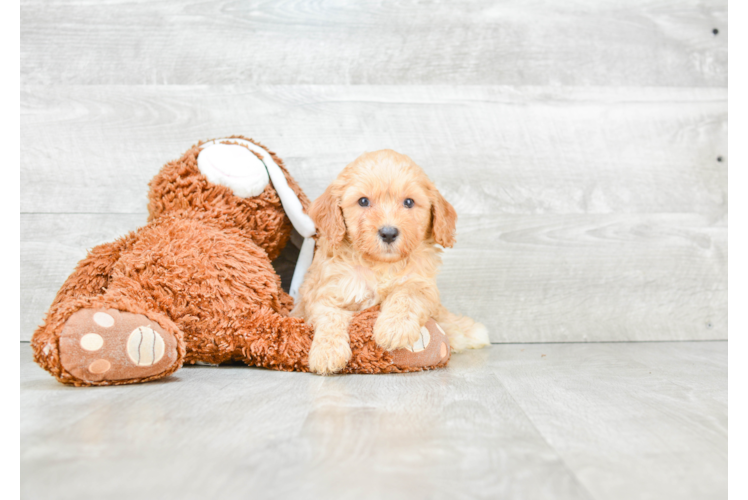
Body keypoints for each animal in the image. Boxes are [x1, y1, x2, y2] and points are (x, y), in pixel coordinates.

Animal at [292, 149, 490, 376]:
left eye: (409, 202)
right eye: (363, 201)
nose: (388, 233)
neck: (380, 265)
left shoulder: (421, 282)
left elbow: (407, 295)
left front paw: (395, 328)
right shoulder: (326, 291)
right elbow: (329, 316)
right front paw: (327, 352)